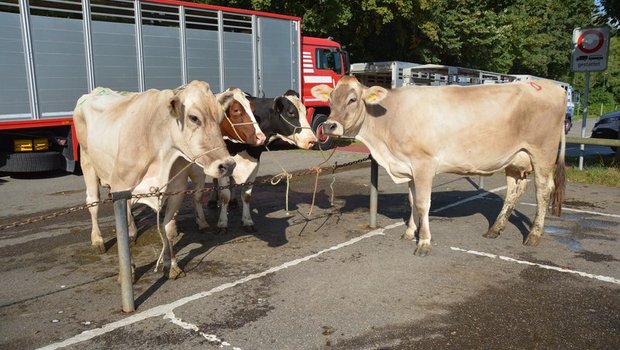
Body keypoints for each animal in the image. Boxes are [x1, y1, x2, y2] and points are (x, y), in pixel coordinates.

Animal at [314, 76, 568, 256]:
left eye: (353, 99)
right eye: (330, 100)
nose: (329, 126)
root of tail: (556, 87)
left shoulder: (423, 163)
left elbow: (423, 203)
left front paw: (424, 242)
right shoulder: (408, 167)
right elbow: (411, 201)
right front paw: (409, 232)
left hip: (542, 153)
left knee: (543, 190)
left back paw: (534, 235)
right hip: (516, 159)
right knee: (514, 190)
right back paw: (495, 229)